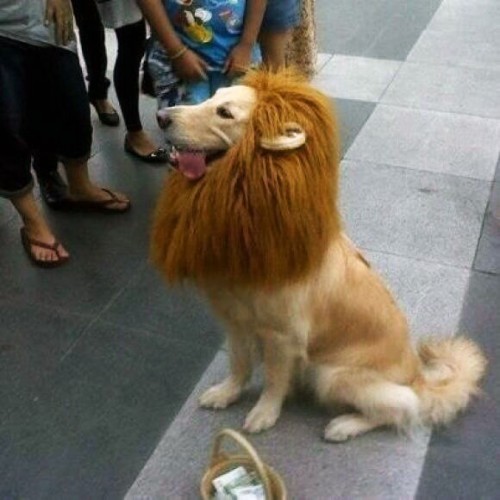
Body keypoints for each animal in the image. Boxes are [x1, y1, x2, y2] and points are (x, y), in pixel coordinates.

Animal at [151, 69, 486, 441]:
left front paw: (264, 413)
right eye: (211, 97)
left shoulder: (282, 338)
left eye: (224, 113)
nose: (161, 116)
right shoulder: (234, 321)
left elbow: (273, 380)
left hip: (332, 375)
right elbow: (239, 364)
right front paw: (227, 393)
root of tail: (418, 377)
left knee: (402, 407)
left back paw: (344, 425)